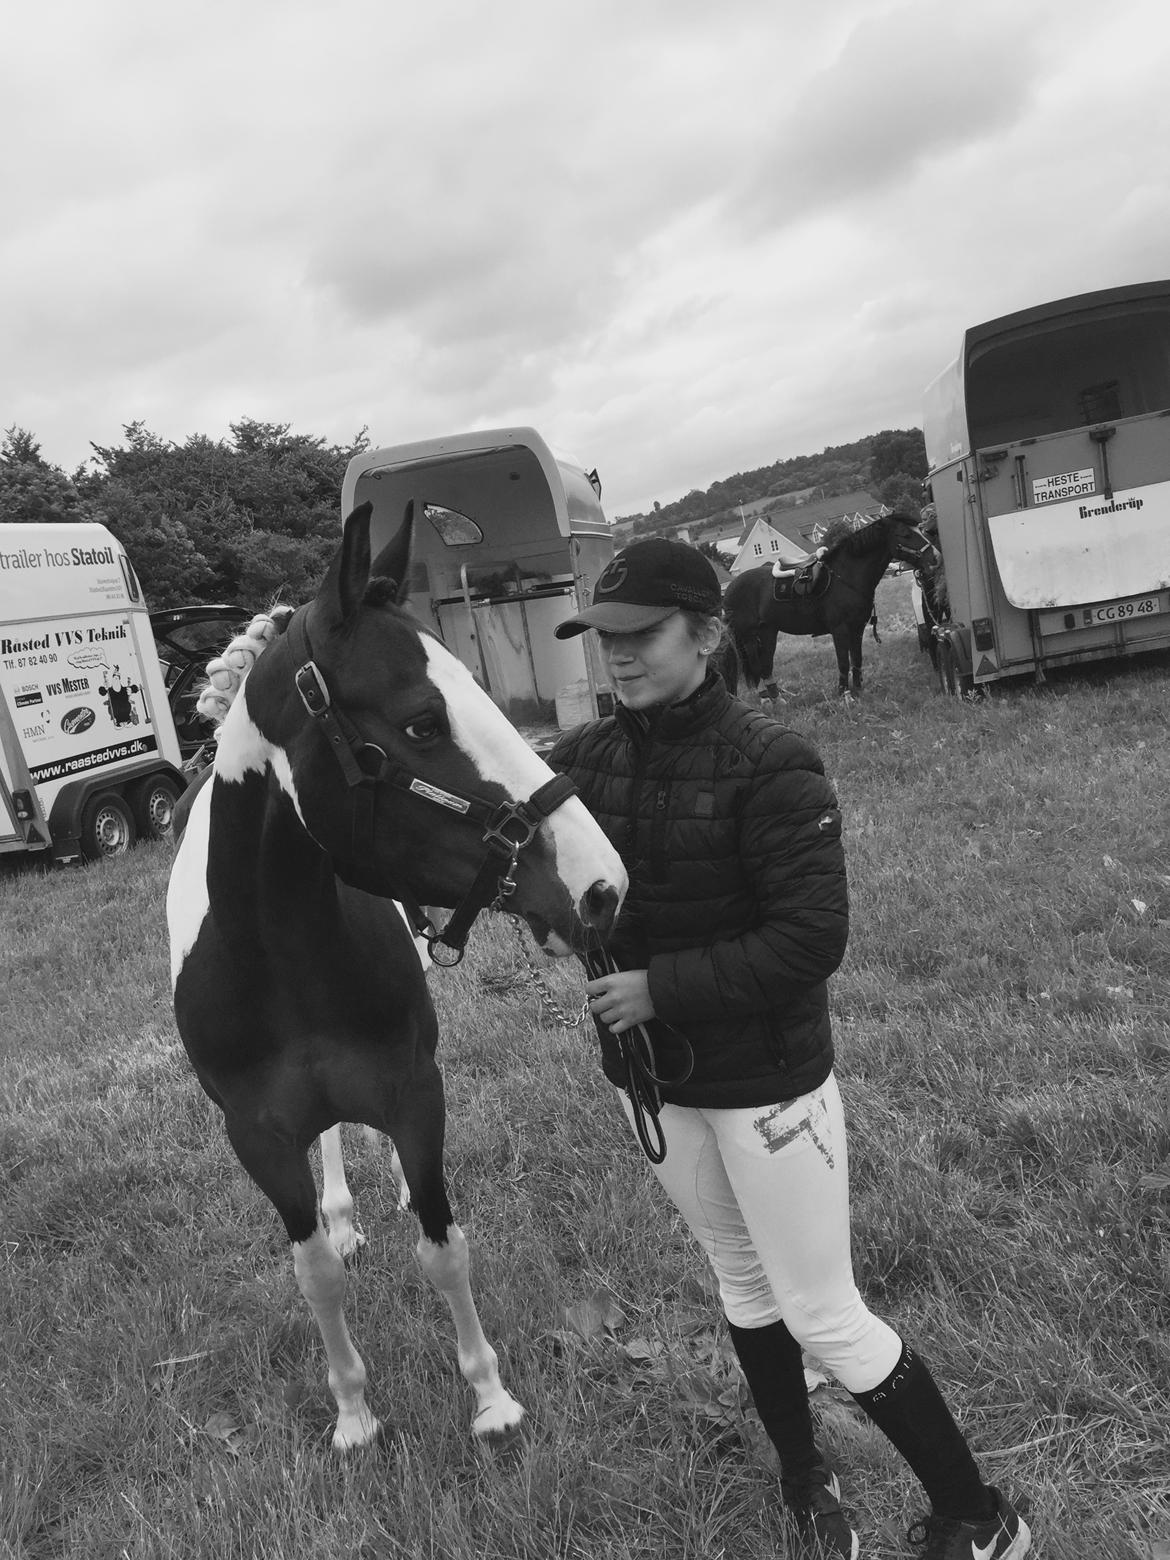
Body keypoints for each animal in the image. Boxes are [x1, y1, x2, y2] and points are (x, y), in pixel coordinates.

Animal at [167, 500, 627, 1452]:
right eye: (421, 723)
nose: (602, 887)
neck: (282, 966)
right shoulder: (258, 1139)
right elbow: (314, 1274)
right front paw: (353, 1412)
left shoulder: (416, 1093)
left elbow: (443, 1247)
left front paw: (490, 1396)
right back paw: (344, 1216)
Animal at [719, 510, 939, 698]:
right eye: (905, 534)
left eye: (919, 530)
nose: (935, 558)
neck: (846, 576)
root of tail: (730, 589)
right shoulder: (840, 630)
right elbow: (843, 662)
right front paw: (844, 694)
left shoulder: (857, 629)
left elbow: (856, 659)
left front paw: (858, 690)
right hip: (749, 637)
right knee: (757, 667)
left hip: (767, 633)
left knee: (765, 666)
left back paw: (777, 698)